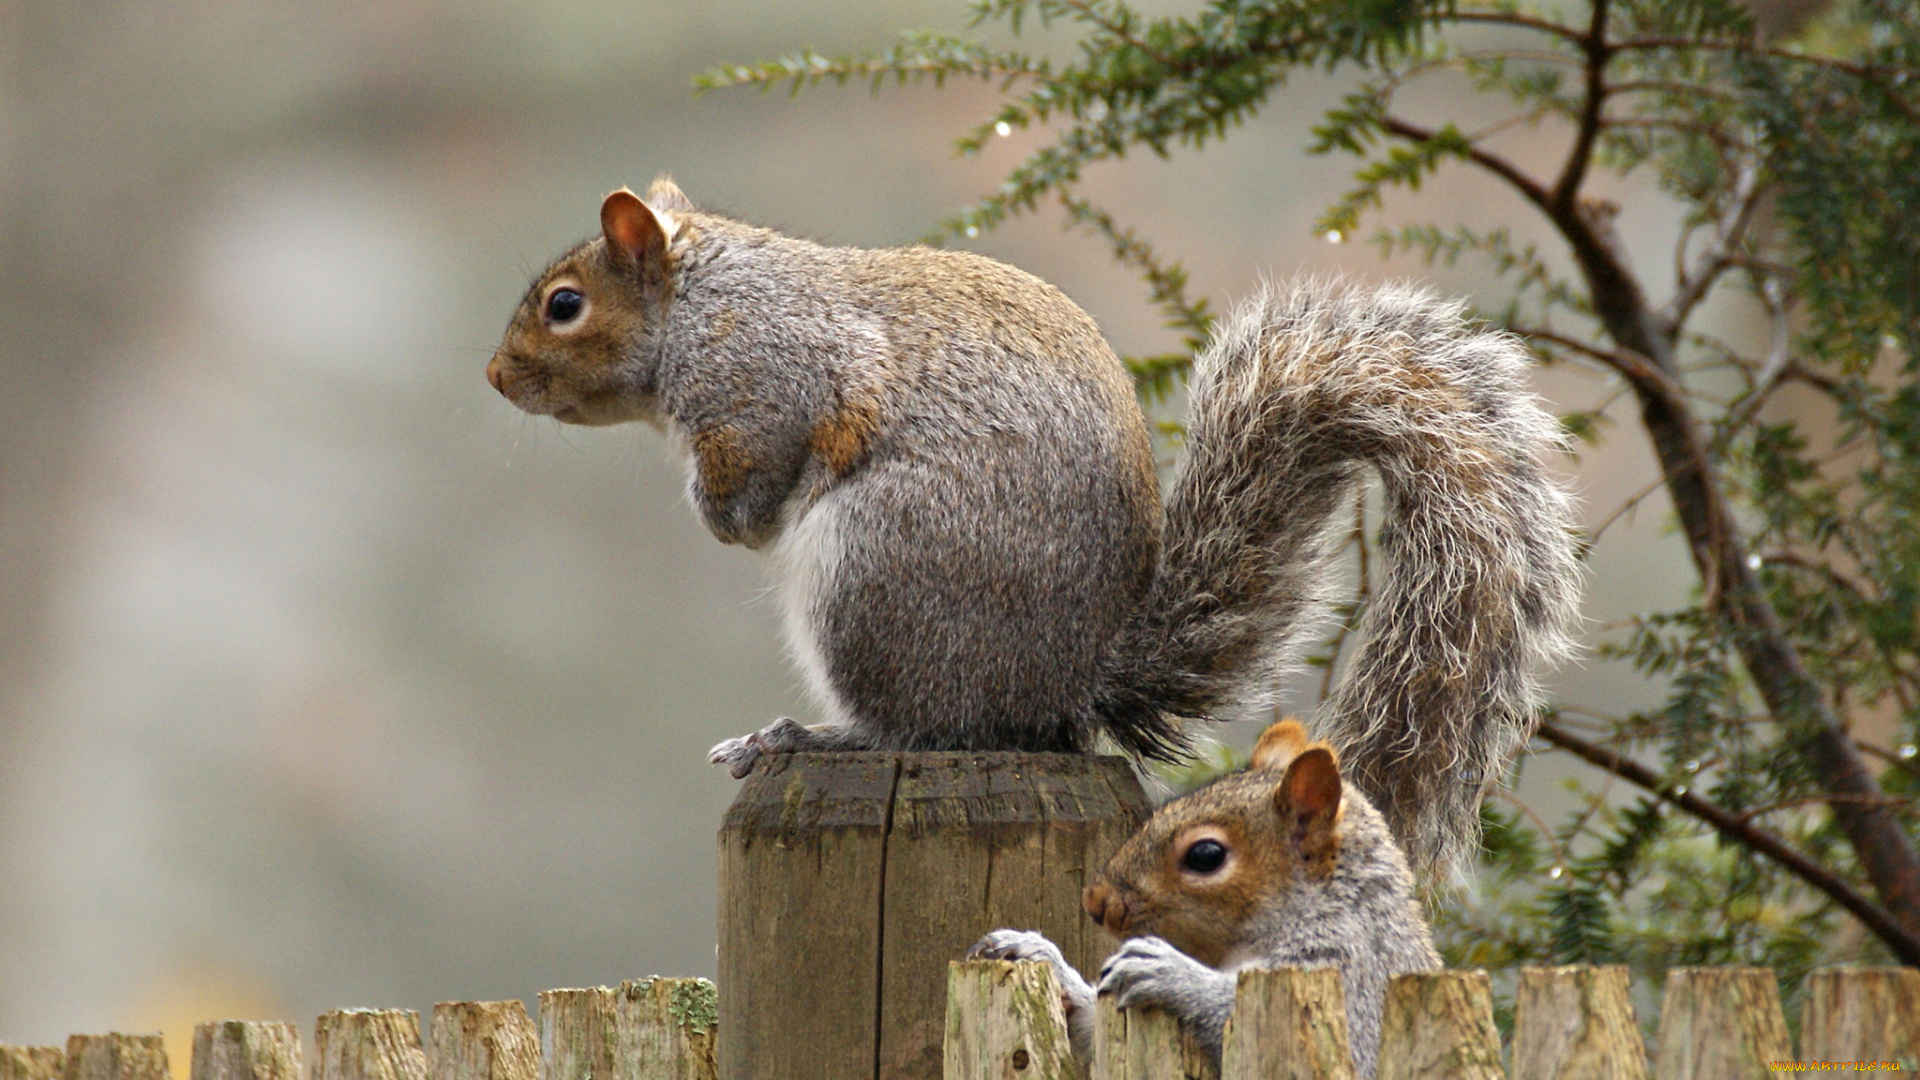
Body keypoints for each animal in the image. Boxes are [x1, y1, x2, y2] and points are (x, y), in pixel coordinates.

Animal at [487, 174, 1582, 864]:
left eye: (564, 305)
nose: (495, 379)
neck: (701, 303)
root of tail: (1070, 678)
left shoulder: (769, 383)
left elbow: (760, 474)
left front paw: (724, 518)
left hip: (876, 574)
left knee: (921, 728)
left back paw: (805, 737)